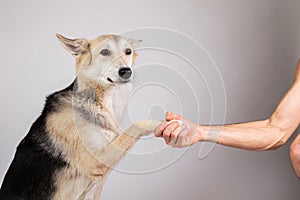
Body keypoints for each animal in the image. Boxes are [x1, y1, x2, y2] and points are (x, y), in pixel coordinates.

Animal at [0, 33, 159, 199]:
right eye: (105, 52)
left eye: (128, 51)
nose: (126, 71)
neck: (99, 100)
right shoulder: (96, 162)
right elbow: (138, 125)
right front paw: (159, 123)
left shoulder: (95, 186)